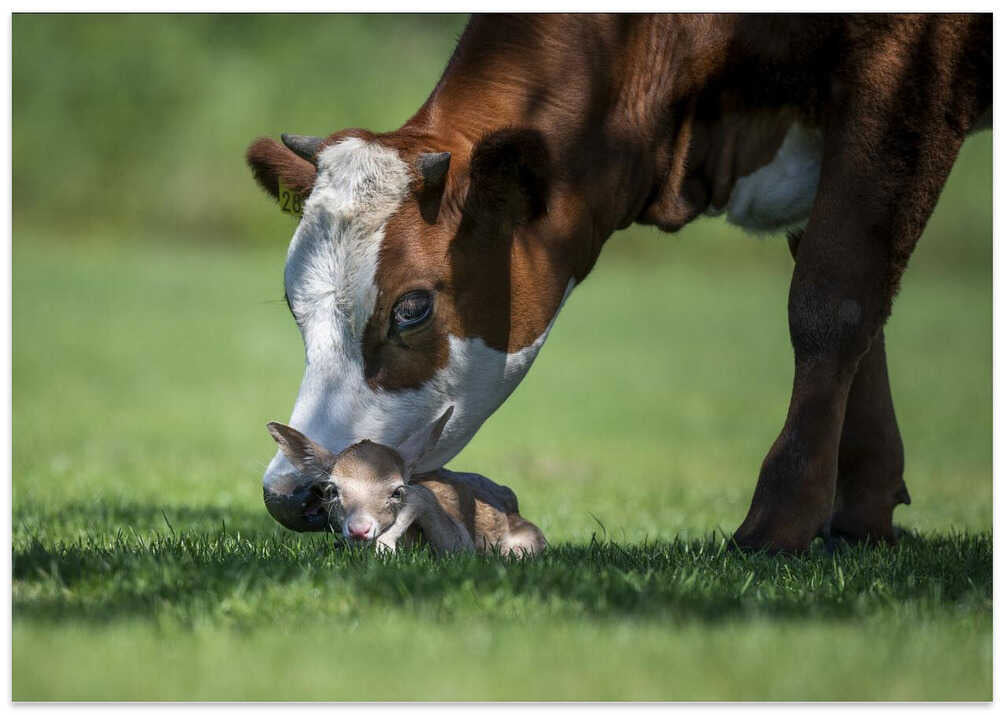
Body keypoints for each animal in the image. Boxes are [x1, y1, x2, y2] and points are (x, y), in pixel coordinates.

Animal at [246, 14, 991, 552]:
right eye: (293, 305)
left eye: (412, 308)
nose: (290, 493)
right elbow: (865, 314)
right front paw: (862, 513)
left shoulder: (904, 75)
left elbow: (833, 300)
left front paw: (781, 521)